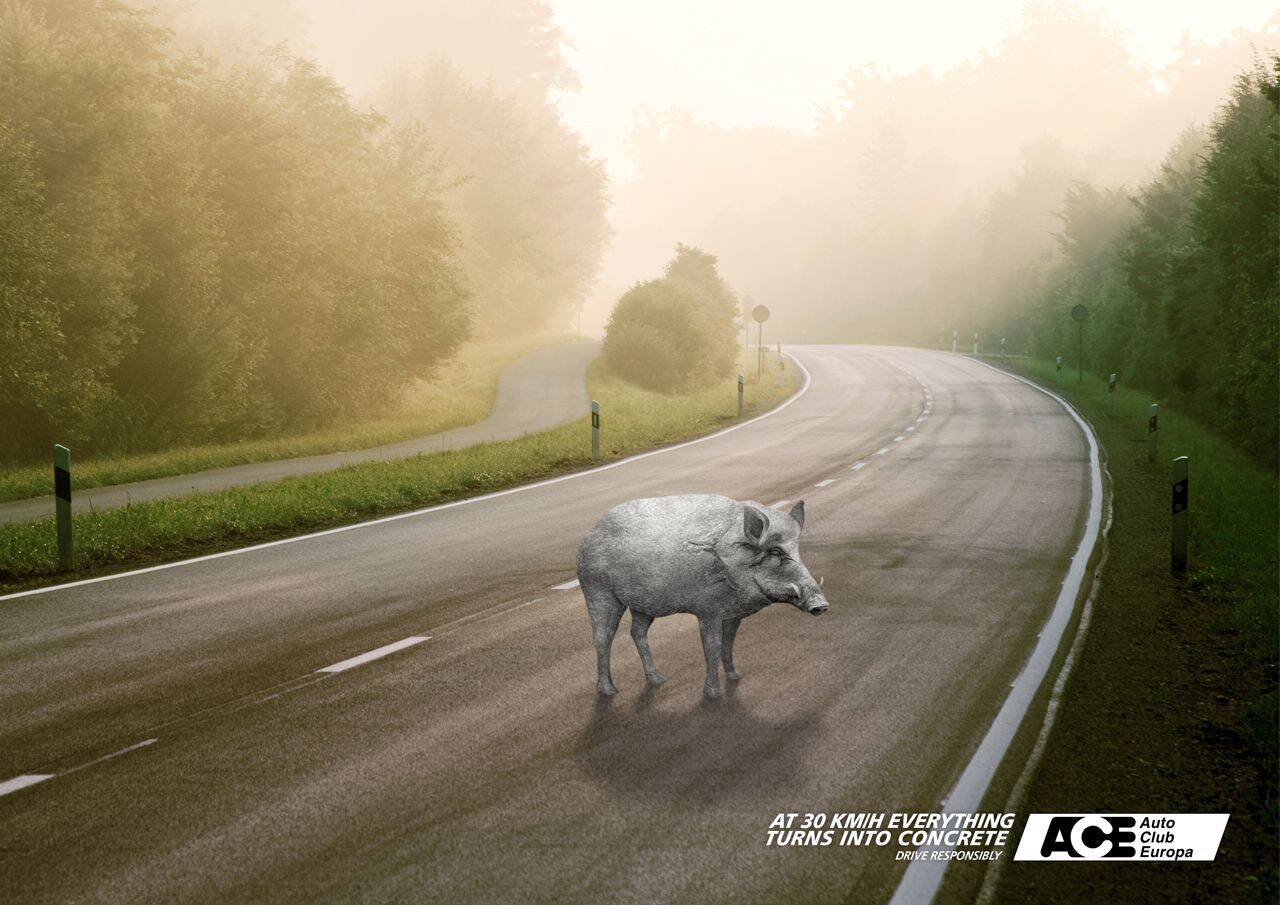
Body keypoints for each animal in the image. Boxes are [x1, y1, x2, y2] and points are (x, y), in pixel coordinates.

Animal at [576, 494, 828, 699]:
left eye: (797, 549)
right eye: (775, 552)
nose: (822, 605)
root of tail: (588, 536)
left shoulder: (733, 614)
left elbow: (729, 642)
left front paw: (735, 676)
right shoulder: (708, 611)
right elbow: (713, 646)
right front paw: (714, 694)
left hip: (643, 604)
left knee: (636, 632)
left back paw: (658, 679)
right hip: (598, 592)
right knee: (602, 637)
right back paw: (609, 691)